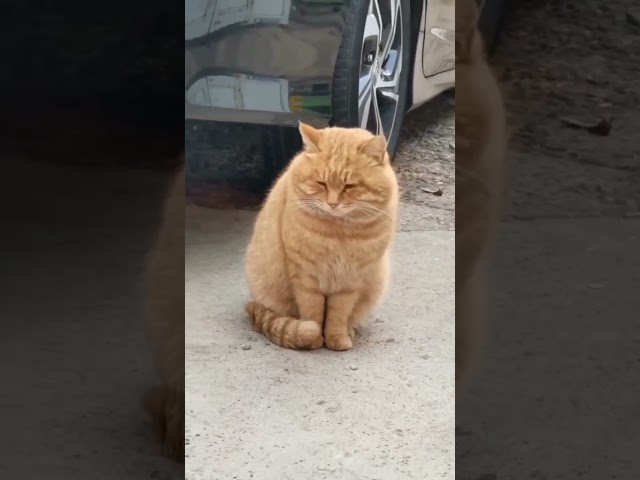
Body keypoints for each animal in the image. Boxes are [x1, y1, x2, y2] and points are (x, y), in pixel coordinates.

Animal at [246, 123, 400, 348]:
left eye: (350, 186)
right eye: (321, 184)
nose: (333, 203)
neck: (339, 232)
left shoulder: (350, 281)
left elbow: (338, 314)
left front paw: (336, 338)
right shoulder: (306, 276)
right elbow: (313, 313)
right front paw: (314, 338)